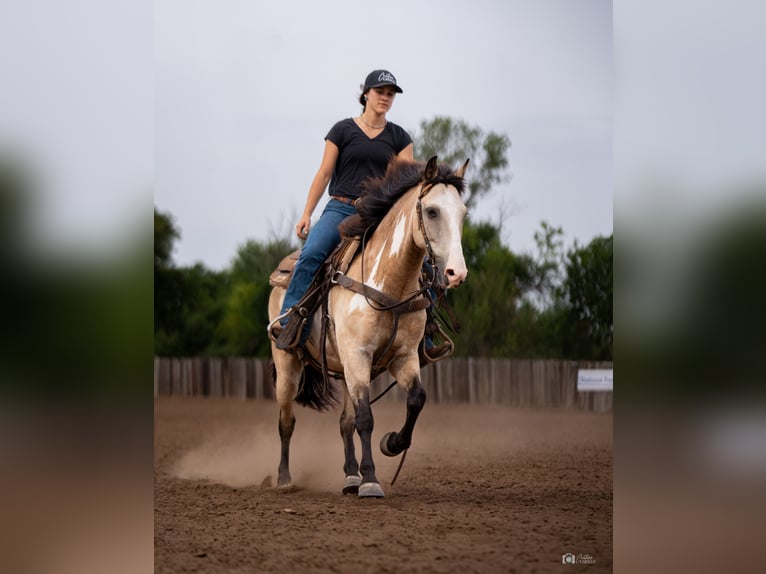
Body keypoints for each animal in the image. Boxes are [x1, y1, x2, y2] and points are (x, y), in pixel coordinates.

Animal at [268, 156, 472, 500]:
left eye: (463, 212)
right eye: (432, 211)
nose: (456, 273)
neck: (388, 283)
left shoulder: (403, 357)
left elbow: (416, 399)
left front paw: (391, 444)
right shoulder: (357, 354)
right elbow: (366, 418)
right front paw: (372, 481)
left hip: (345, 369)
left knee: (344, 422)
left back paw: (350, 477)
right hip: (287, 364)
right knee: (286, 420)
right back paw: (284, 479)